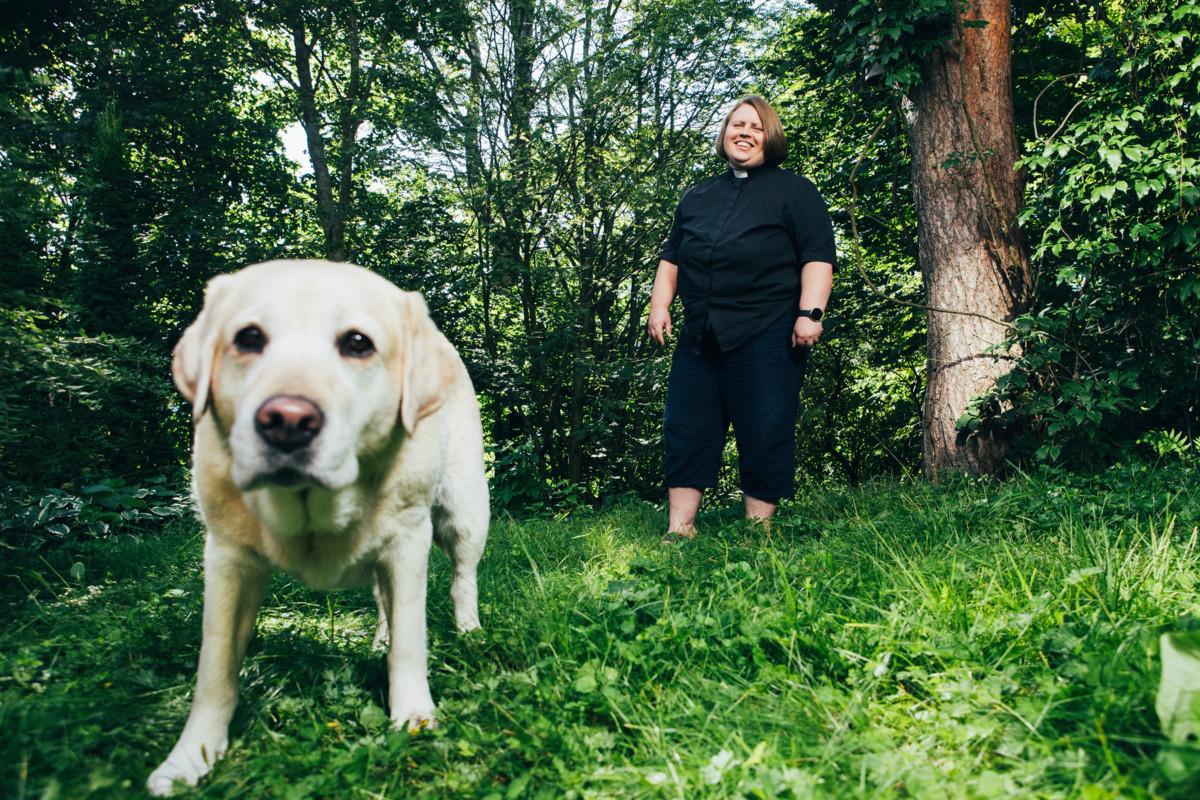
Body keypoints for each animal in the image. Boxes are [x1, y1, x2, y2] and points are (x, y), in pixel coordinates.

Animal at [150, 261, 487, 796]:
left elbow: (411, 646)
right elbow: (214, 669)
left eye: (358, 343)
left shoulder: (407, 543)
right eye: (248, 337)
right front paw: (190, 758)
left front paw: (413, 718)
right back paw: (379, 638)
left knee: (462, 579)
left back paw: (469, 629)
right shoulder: (227, 558)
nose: (287, 420)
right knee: (383, 603)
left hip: (464, 512)